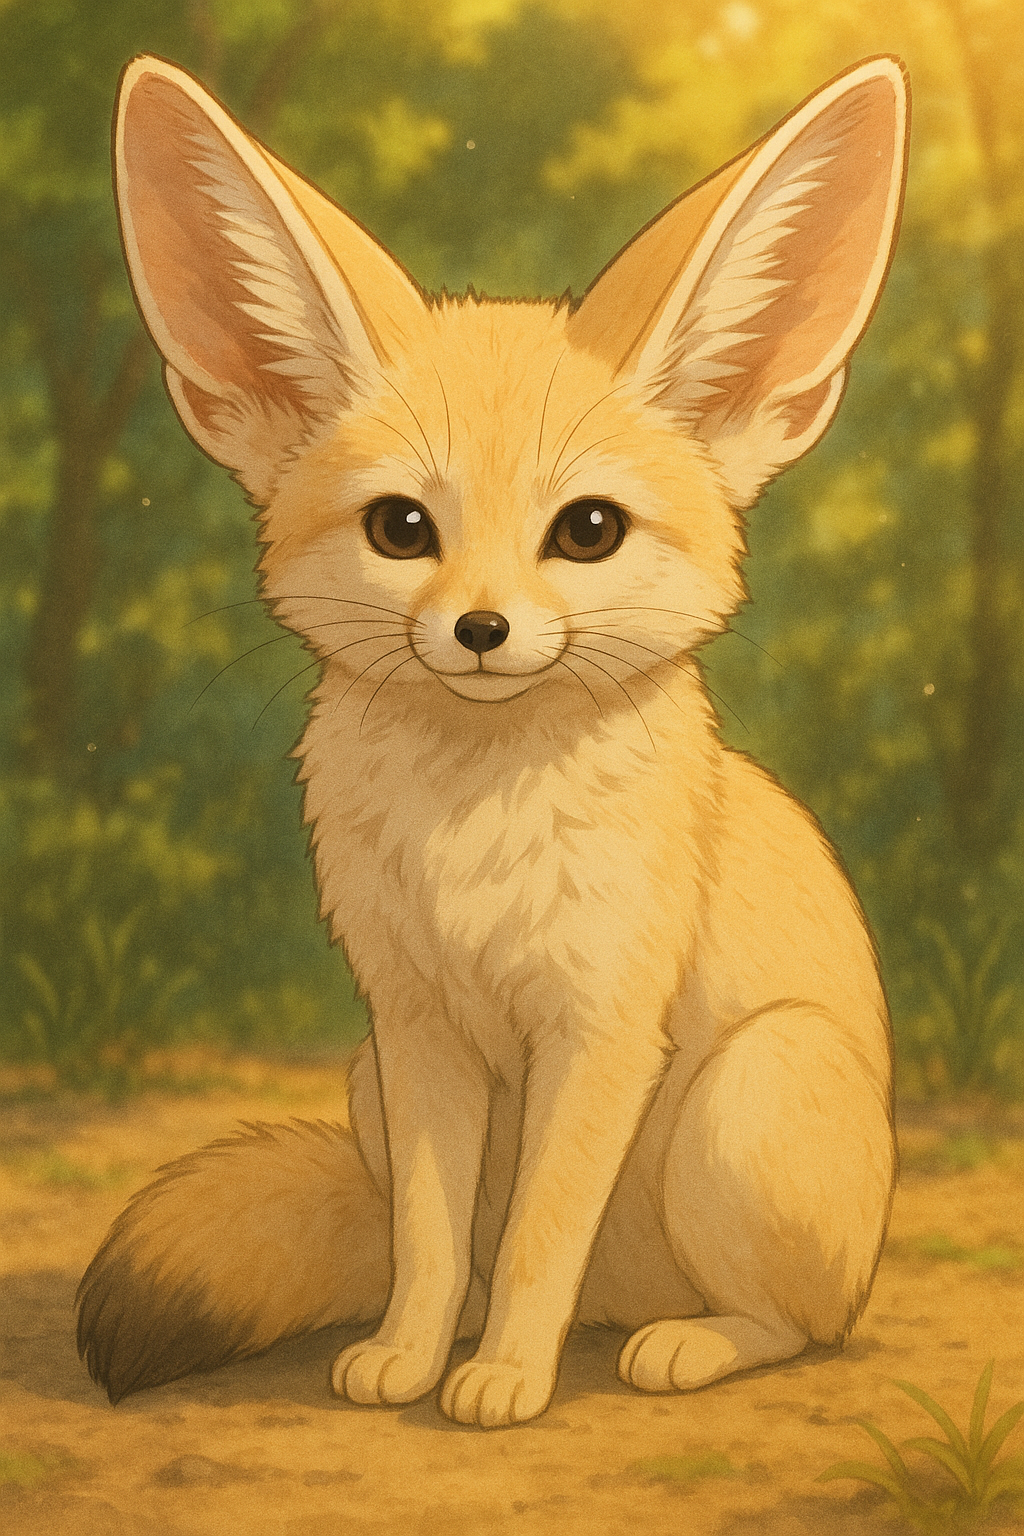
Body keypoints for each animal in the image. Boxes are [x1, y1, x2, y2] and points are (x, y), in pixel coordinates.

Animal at [77, 53, 908, 1428]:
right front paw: (414, 1358)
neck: (474, 842)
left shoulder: (600, 1030)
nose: (479, 629)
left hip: (744, 1099)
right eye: (402, 527)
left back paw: (681, 1343)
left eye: (587, 531)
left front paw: (508, 1377)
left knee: (803, 1322)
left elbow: (533, 1237)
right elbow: (430, 1236)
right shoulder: (416, 1028)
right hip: (367, 1078)